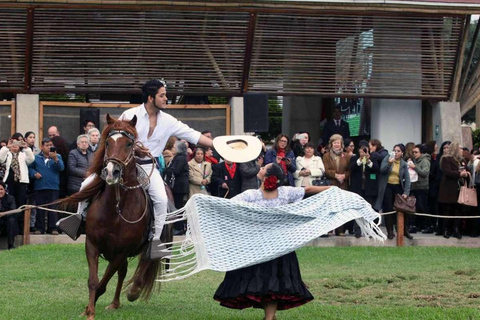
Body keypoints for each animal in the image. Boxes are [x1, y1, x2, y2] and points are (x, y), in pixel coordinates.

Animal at [63, 114, 169, 318]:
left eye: (129, 143)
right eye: (108, 142)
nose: (112, 172)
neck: (115, 209)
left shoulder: (121, 252)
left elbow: (104, 281)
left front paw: (90, 309)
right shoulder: (92, 244)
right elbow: (94, 280)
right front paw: (89, 310)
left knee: (145, 260)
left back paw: (133, 291)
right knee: (122, 272)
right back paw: (114, 303)